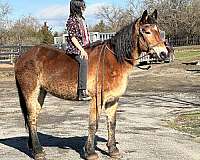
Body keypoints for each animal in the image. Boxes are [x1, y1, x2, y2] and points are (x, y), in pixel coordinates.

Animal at [14, 10, 167, 160]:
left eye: (158, 30)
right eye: (146, 31)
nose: (164, 53)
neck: (113, 61)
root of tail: (22, 57)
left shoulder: (113, 100)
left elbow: (112, 124)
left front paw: (113, 150)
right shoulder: (97, 100)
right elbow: (93, 124)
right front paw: (90, 152)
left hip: (40, 93)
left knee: (33, 117)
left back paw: (33, 147)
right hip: (30, 92)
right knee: (31, 118)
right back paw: (38, 151)